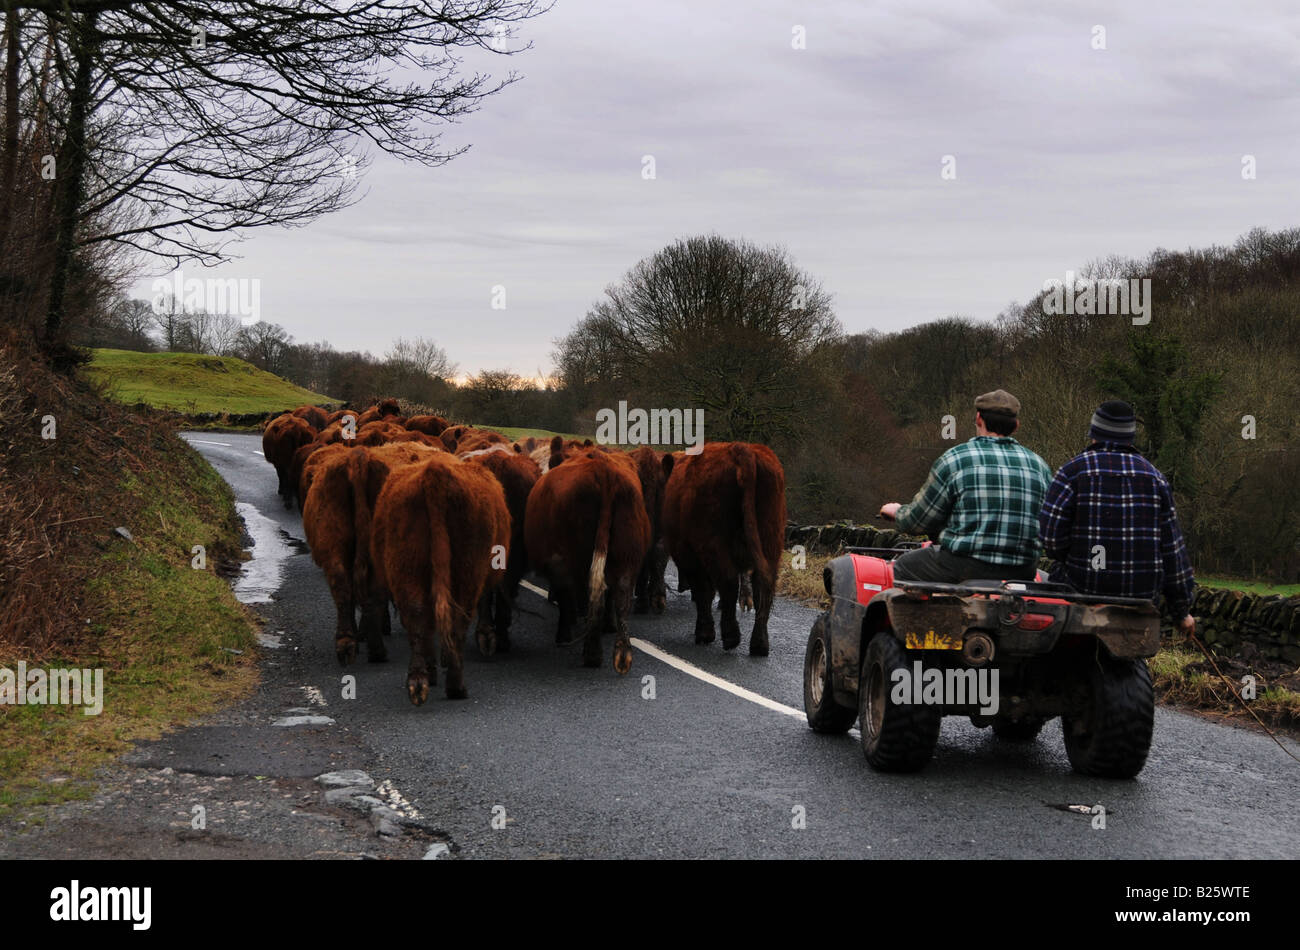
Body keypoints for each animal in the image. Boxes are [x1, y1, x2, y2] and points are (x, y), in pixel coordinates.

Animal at [369, 452, 509, 706]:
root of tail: (435, 473)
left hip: (407, 566)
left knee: (417, 615)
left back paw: (419, 681)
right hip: (468, 570)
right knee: (458, 618)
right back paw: (455, 685)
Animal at [522, 449, 650, 670]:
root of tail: (605, 472)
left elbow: (566, 597)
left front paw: (564, 635)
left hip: (570, 557)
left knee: (591, 594)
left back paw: (592, 653)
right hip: (628, 554)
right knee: (620, 594)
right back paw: (622, 654)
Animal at [660, 444, 780, 654]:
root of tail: (741, 448)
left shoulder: (686, 552)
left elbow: (703, 590)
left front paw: (704, 631)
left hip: (711, 543)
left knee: (728, 580)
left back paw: (728, 636)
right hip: (770, 539)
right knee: (764, 585)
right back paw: (759, 644)